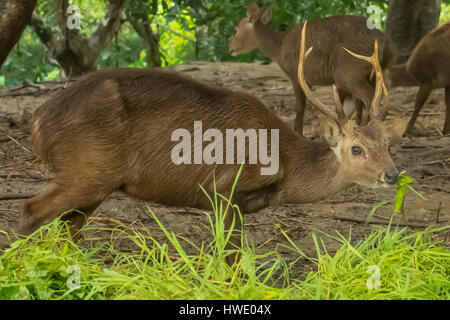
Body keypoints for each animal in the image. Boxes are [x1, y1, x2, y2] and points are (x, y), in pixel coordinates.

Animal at [230, 1, 396, 134]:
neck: (278, 48)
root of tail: (386, 43)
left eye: (236, 29)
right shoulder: (335, 83)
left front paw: (299, 134)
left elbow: (299, 108)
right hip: (376, 72)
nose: (230, 48)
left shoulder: (296, 76)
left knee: (370, 97)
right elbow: (343, 109)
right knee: (381, 98)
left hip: (349, 72)